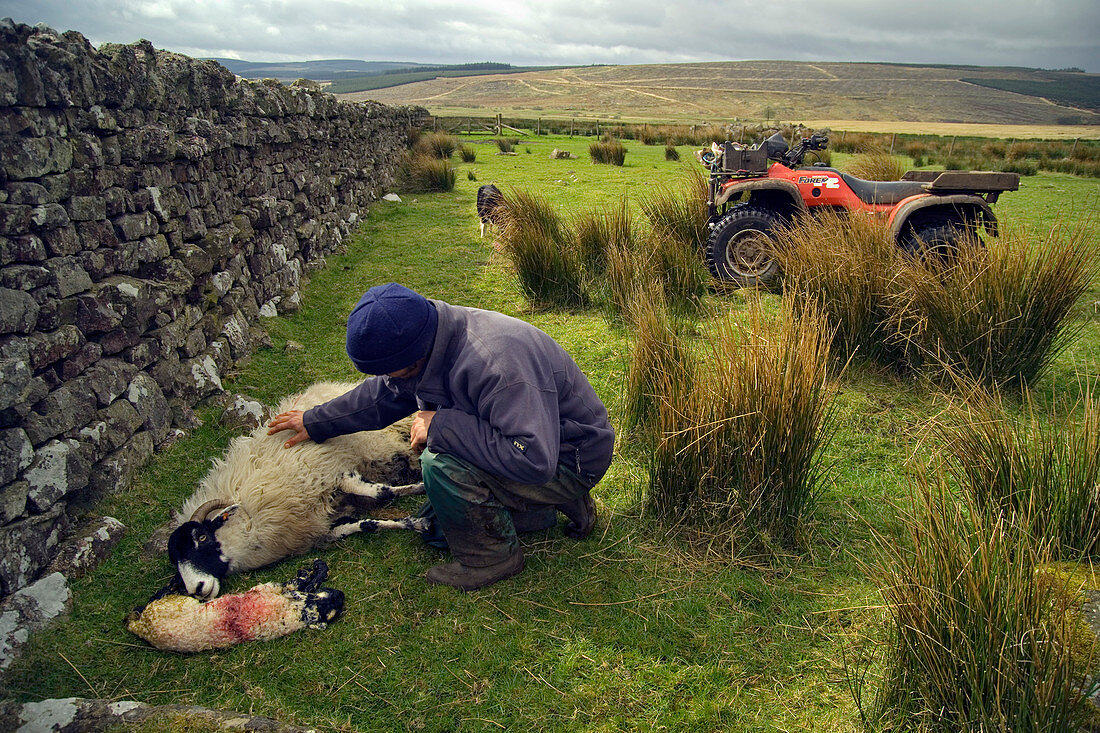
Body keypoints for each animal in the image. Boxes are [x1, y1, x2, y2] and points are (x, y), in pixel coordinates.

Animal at [166, 378, 424, 598]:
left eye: (201, 537)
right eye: (175, 562)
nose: (197, 588)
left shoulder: (331, 472)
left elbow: (381, 492)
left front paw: (419, 495)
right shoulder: (323, 529)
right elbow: (367, 524)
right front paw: (411, 521)